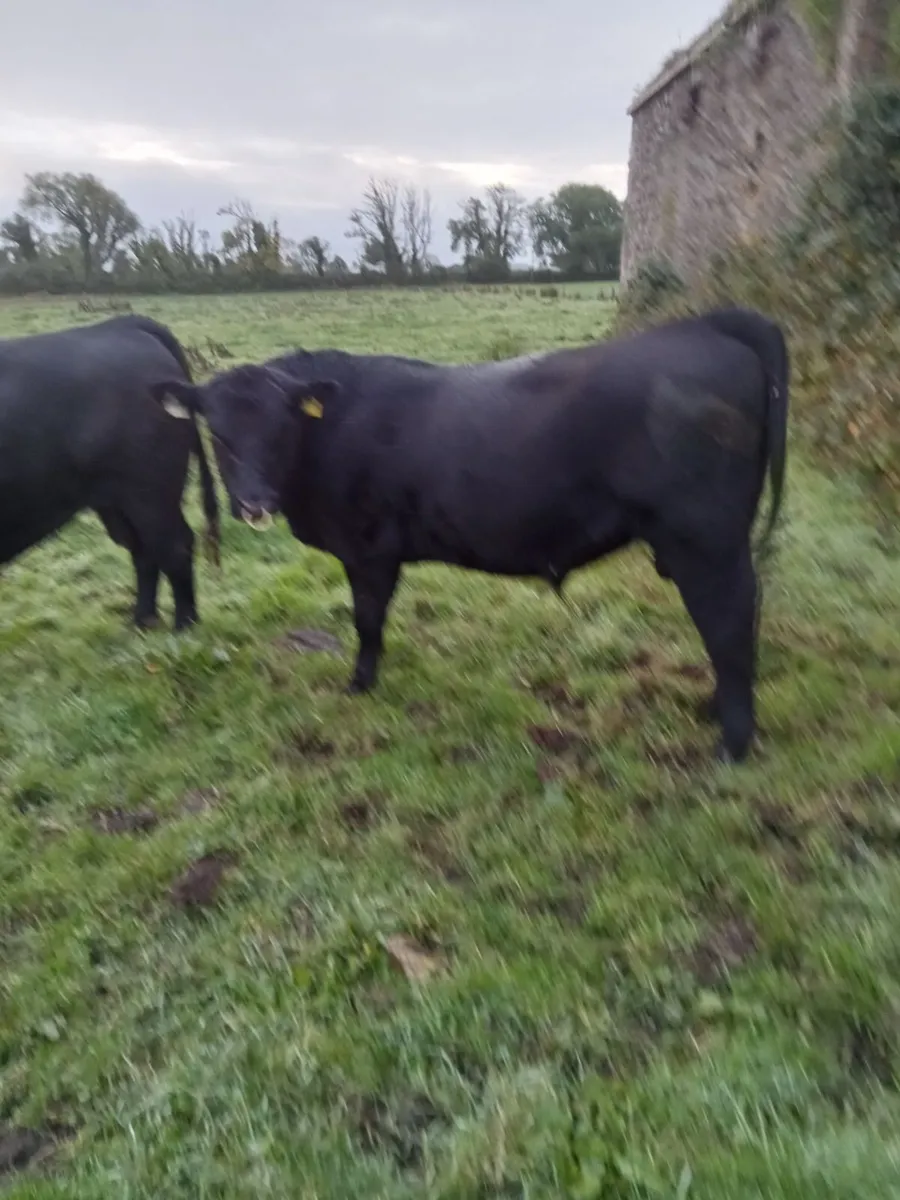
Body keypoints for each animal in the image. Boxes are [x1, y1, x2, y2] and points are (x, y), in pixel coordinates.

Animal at [0, 313, 220, 631]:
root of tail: (118, 325)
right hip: (116, 501)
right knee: (144, 551)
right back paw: (142, 622)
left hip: (149, 494)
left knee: (173, 547)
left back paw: (184, 626)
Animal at [150, 306, 789, 762]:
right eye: (218, 434)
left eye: (280, 429)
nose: (254, 502)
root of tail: (706, 325)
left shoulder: (368, 549)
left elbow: (366, 619)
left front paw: (360, 685)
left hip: (704, 539)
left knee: (729, 622)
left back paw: (731, 745)